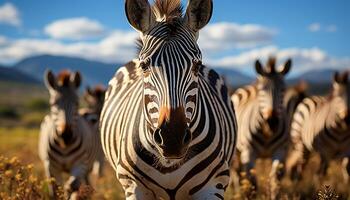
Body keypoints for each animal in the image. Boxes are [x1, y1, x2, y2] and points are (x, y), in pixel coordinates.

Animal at [38, 69, 98, 198]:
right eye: (53, 104)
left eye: (77, 103)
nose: (66, 135)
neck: (64, 147)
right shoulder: (51, 166)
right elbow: (55, 190)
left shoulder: (80, 164)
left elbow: (72, 186)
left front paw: (69, 192)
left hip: (87, 165)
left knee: (85, 182)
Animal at [231, 57, 292, 196]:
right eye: (262, 90)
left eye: (283, 90)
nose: (272, 122)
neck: (267, 133)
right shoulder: (248, 152)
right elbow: (252, 182)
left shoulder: (281, 151)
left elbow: (275, 180)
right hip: (237, 149)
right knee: (236, 171)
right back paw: (238, 191)